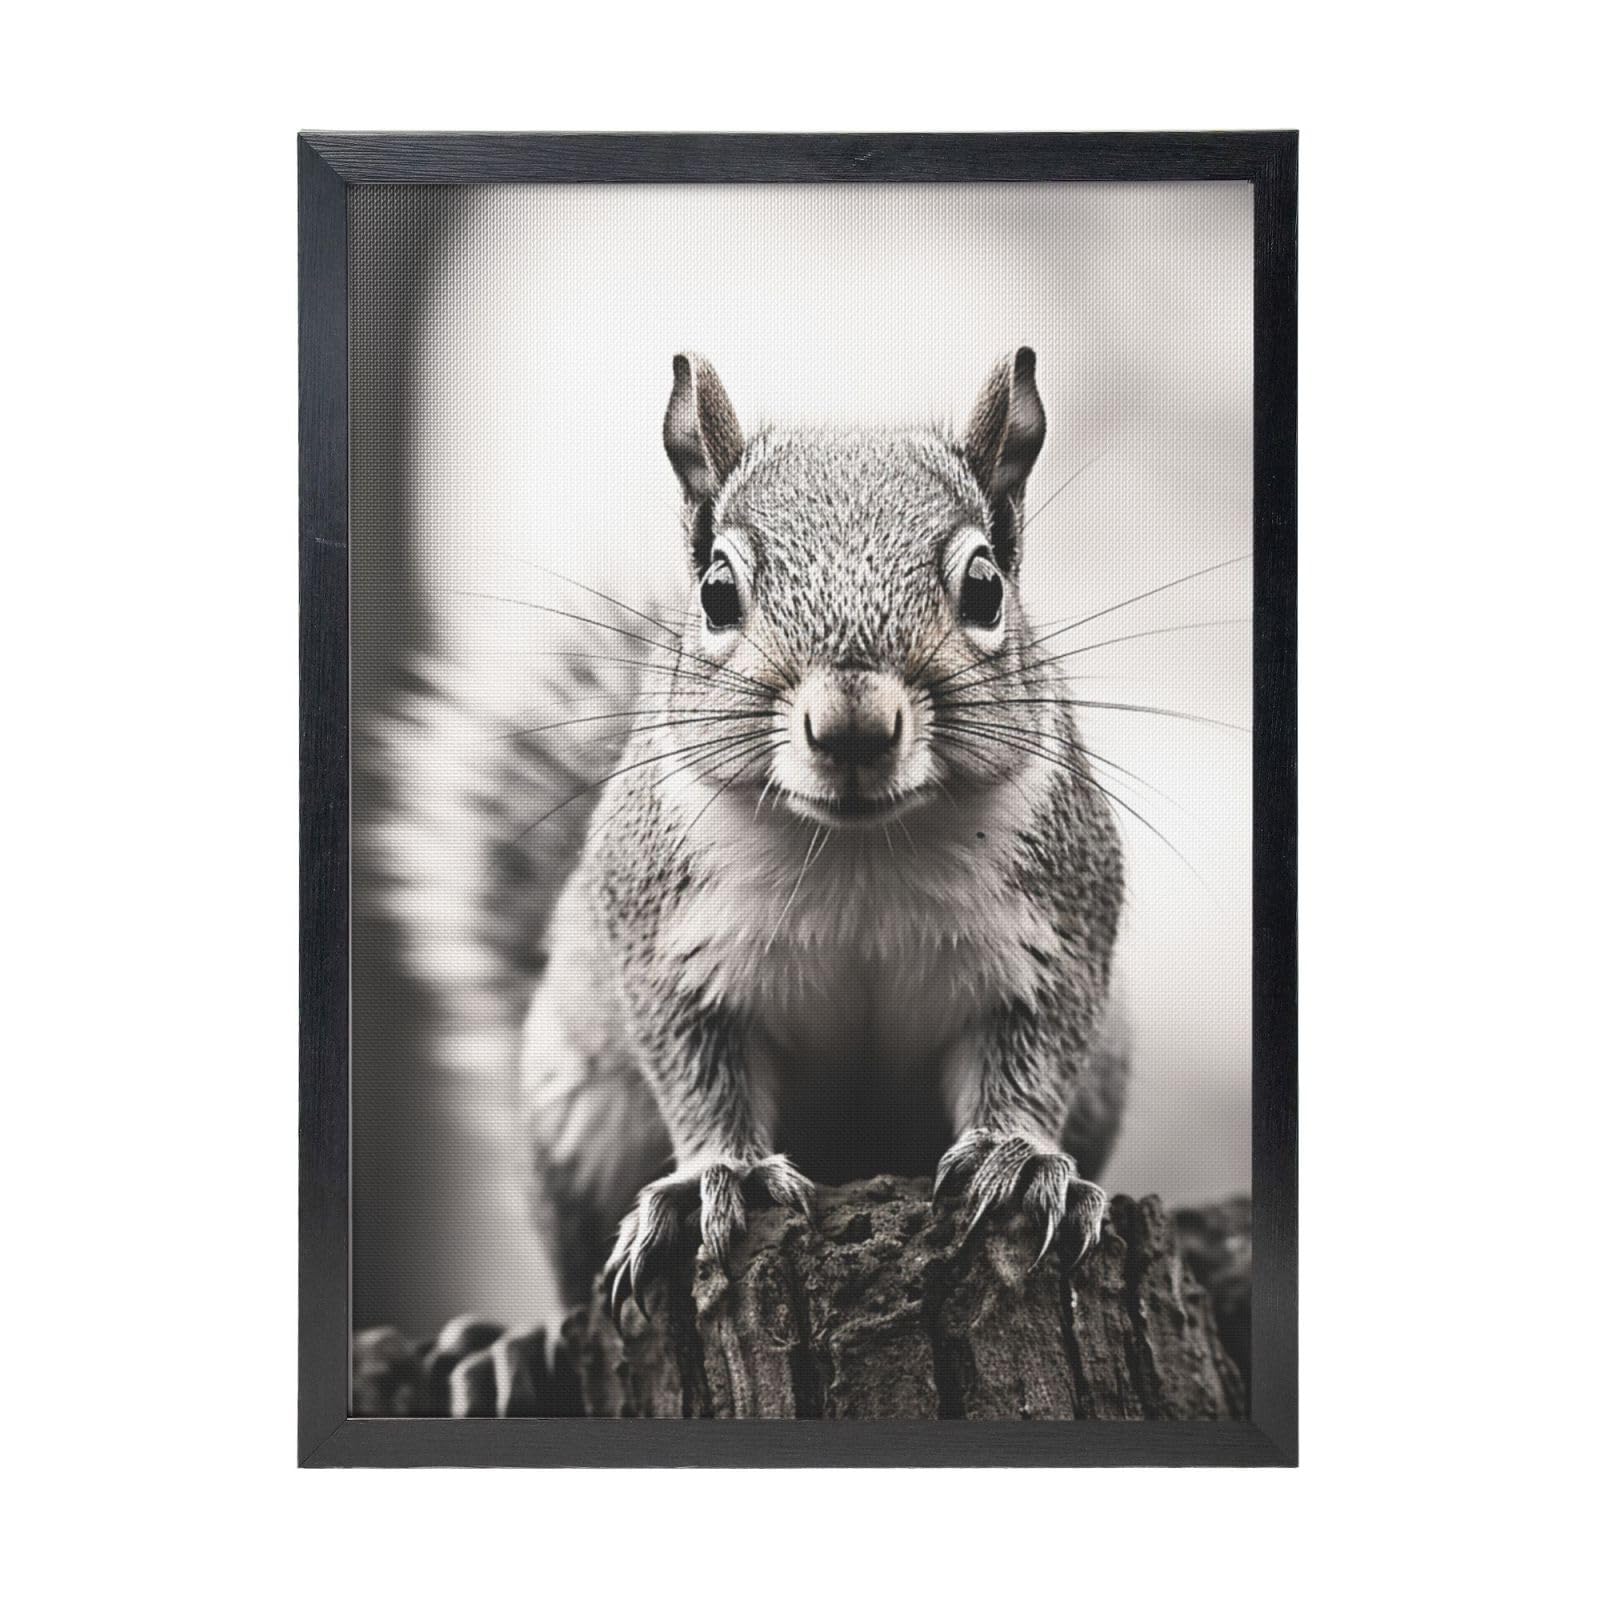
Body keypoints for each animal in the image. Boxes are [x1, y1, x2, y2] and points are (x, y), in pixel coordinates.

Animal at [375, 347, 1129, 1323]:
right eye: (717, 592)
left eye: (985, 586)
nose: (853, 726)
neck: (857, 852)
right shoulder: (663, 942)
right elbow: (699, 1073)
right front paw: (717, 1179)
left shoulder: (1056, 930)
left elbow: (1037, 1053)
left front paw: (1023, 1161)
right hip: (574, 1107)